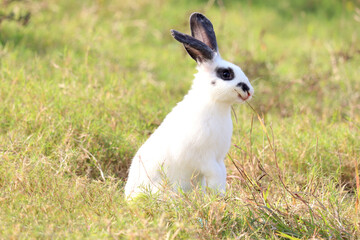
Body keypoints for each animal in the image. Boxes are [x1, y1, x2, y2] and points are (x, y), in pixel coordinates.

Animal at [125, 12, 255, 199]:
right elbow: (216, 175)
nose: (249, 91)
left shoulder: (219, 158)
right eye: (226, 74)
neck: (215, 104)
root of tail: (128, 197)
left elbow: (222, 173)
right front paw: (218, 197)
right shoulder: (205, 158)